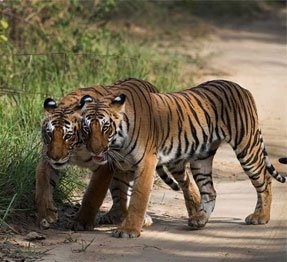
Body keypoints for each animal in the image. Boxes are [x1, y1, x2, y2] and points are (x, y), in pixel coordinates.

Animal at [35, 77, 180, 229]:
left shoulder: (104, 165)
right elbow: (43, 186)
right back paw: (113, 216)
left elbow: (93, 194)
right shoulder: (46, 159)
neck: (76, 150)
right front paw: (46, 215)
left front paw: (81, 222)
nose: (55, 157)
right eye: (49, 134)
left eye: (68, 136)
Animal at [79, 78, 287, 237]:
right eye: (87, 128)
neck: (118, 144)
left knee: (264, 180)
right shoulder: (124, 166)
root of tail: (242, 88)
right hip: (202, 160)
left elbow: (137, 198)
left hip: (247, 148)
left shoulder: (146, 163)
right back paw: (199, 220)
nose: (94, 150)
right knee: (210, 191)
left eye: (106, 127)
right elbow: (123, 194)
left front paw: (128, 230)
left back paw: (260, 216)